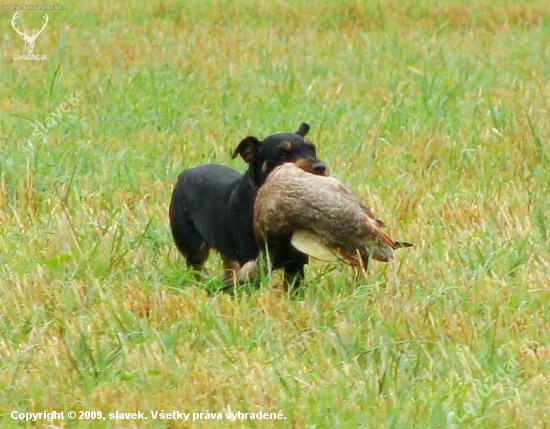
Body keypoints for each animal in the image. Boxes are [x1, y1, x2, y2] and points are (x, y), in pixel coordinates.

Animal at [170, 122, 328, 286]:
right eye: (283, 154)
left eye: (312, 149)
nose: (320, 167)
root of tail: (184, 174)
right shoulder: (252, 258)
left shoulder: (296, 262)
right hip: (191, 245)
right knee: (197, 269)